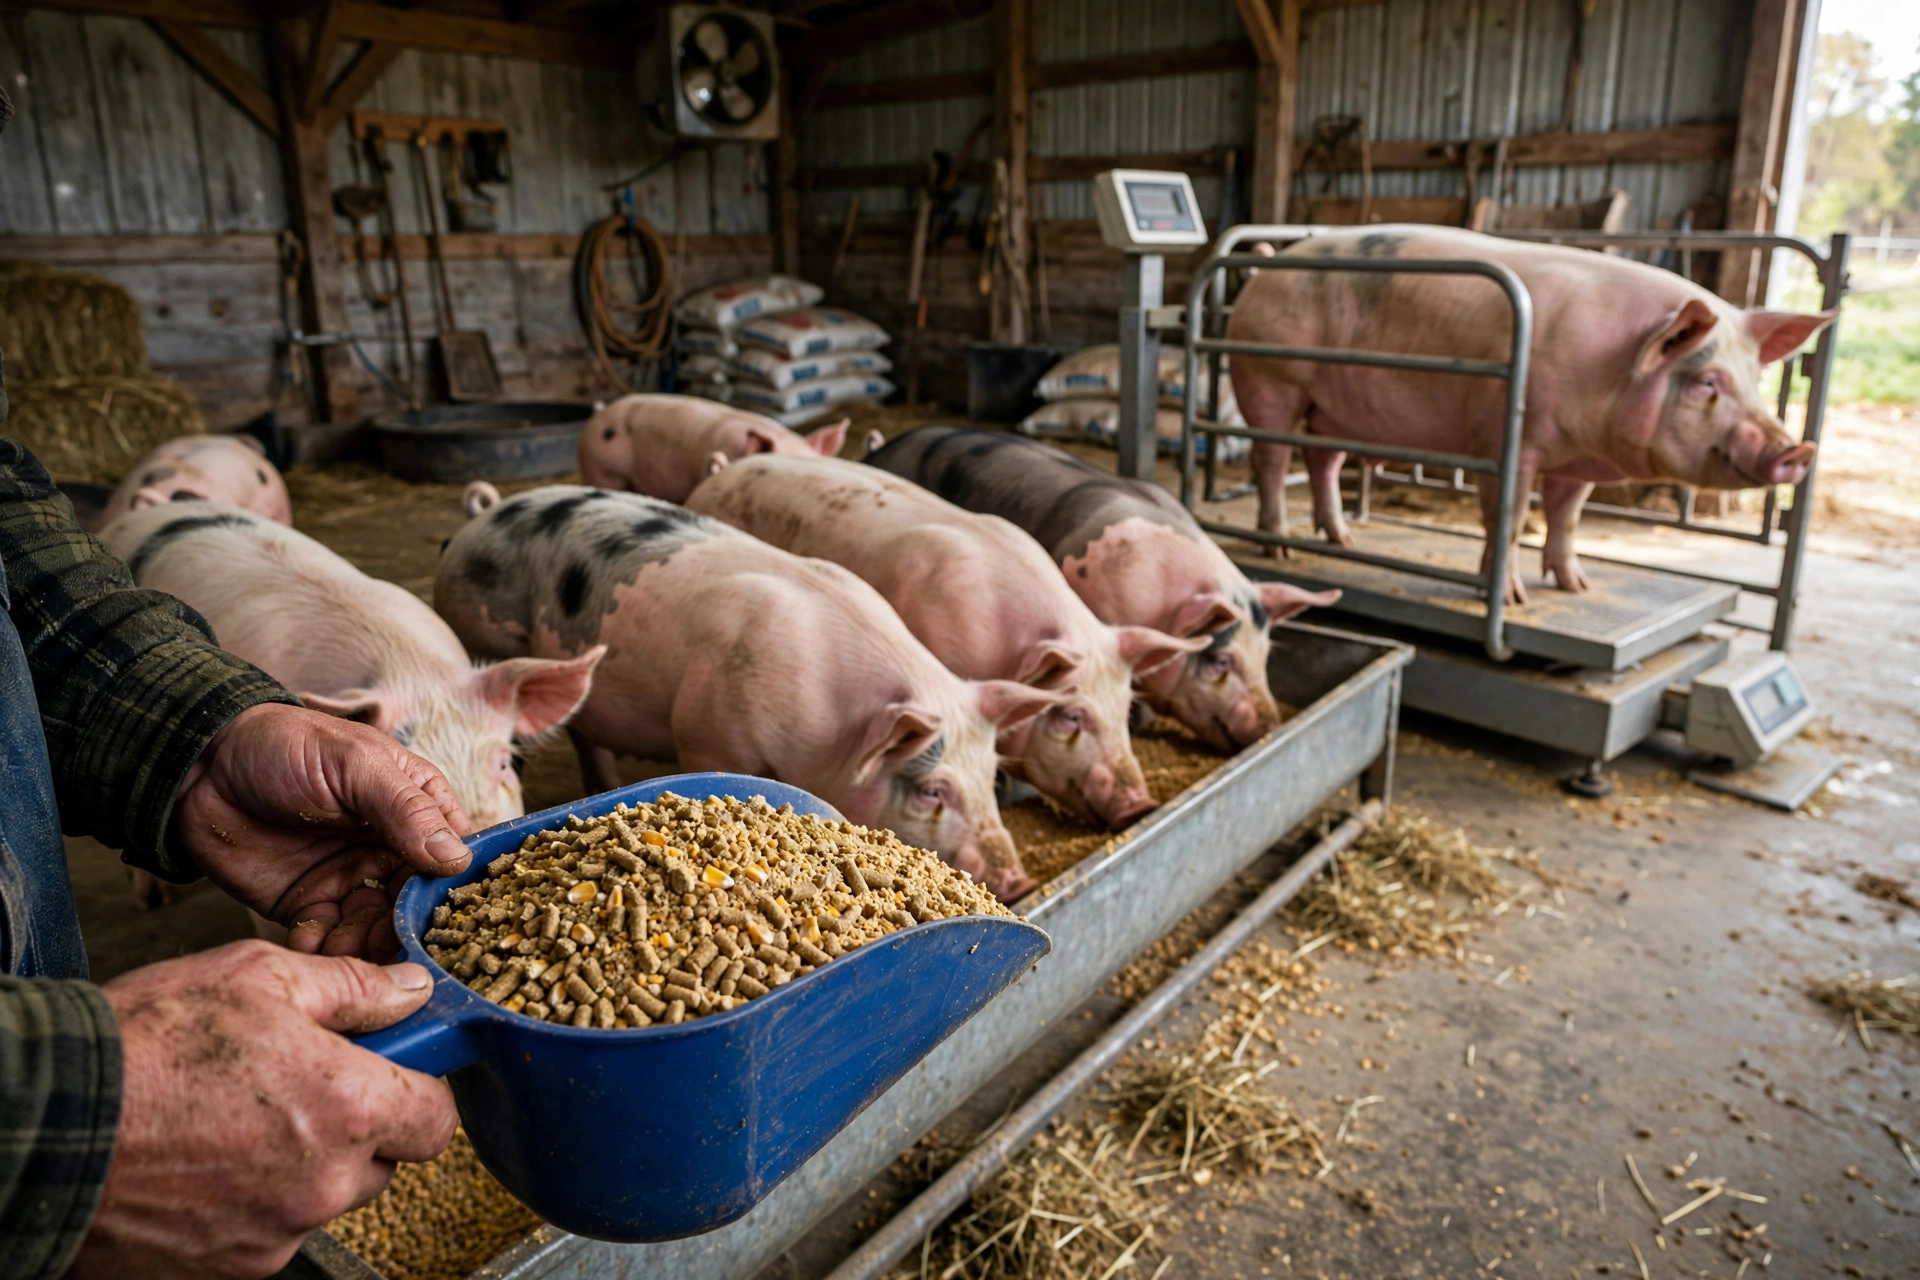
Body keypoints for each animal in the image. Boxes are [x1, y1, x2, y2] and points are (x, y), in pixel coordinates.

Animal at [436, 484, 1066, 900]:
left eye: (991, 775)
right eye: (933, 790)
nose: (1021, 881)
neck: (832, 732)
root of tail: (483, 517)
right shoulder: (706, 735)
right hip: (479, 629)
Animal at [864, 427, 1340, 753]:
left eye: (1266, 653)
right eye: (1220, 660)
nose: (1269, 727)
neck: (1159, 601)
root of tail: (882, 449)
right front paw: (1139, 719)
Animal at [1228, 226, 1838, 603]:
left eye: (1755, 380)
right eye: (1705, 381)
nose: (1796, 449)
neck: (1605, 372)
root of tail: (1265, 270)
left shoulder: (1580, 456)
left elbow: (1567, 518)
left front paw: (1577, 587)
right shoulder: (1505, 440)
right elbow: (1512, 516)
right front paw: (1511, 597)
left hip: (1332, 408)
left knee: (1323, 461)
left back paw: (1344, 542)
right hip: (1270, 378)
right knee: (1273, 461)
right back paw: (1280, 545)